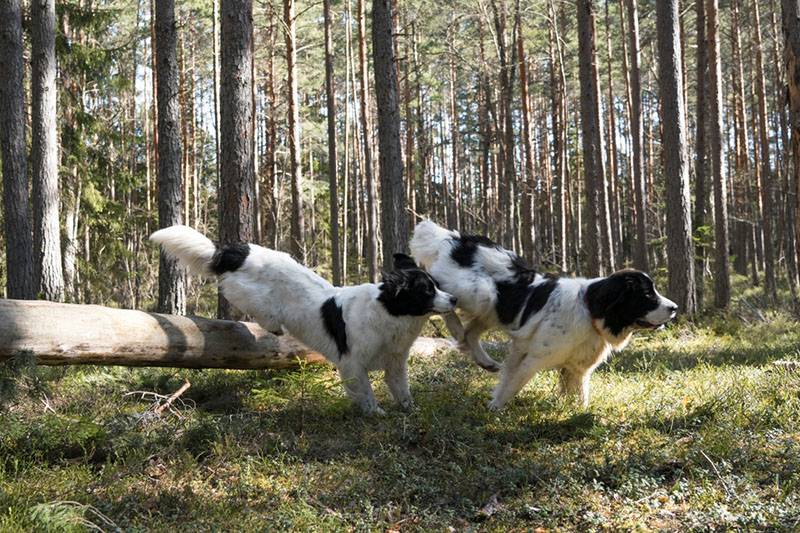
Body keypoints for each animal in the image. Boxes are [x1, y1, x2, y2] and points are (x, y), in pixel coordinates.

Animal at [150, 224, 456, 416]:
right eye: (426, 290)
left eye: (437, 285)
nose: (453, 299)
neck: (390, 311)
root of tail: (237, 251)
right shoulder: (352, 364)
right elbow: (366, 392)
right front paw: (375, 412)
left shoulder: (395, 363)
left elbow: (403, 391)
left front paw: (410, 410)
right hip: (254, 297)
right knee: (251, 305)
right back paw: (272, 324)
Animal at [410, 218, 680, 410]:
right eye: (647, 295)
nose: (675, 308)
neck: (591, 312)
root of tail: (459, 239)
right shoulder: (533, 357)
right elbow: (514, 383)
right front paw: (495, 407)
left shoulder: (575, 368)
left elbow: (578, 394)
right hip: (481, 293)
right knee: (440, 290)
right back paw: (454, 325)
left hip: (492, 310)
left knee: (470, 334)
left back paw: (485, 360)